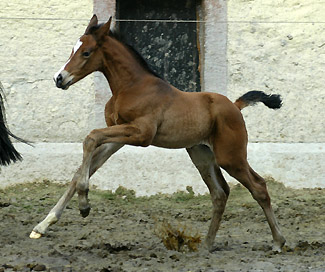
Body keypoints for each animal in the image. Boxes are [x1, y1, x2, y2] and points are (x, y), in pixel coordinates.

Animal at [30, 15, 284, 251]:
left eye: (86, 52)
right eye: (72, 49)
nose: (59, 78)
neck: (132, 87)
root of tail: (235, 105)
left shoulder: (141, 134)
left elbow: (90, 137)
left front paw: (84, 206)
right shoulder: (117, 137)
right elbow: (82, 168)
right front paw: (42, 225)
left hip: (231, 157)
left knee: (259, 187)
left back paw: (278, 242)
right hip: (202, 155)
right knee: (220, 193)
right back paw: (207, 244)